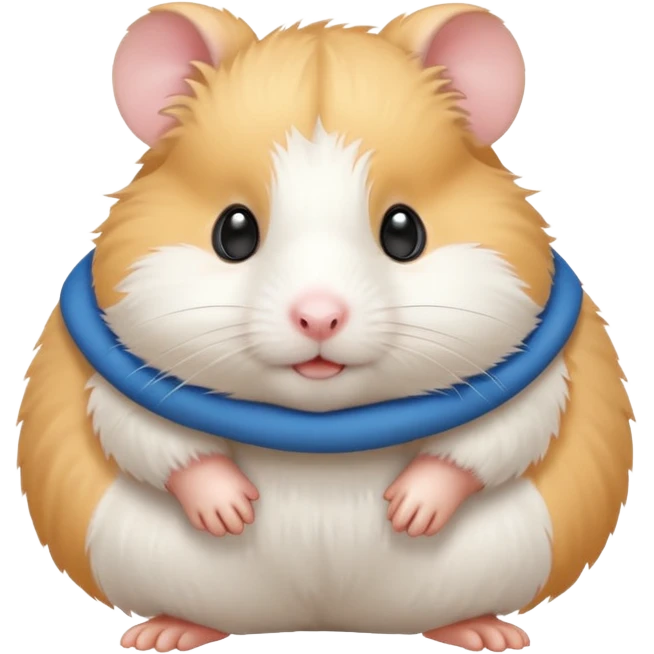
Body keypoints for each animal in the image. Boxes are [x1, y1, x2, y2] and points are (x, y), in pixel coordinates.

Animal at [16, 3, 634, 653]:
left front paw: (409, 511)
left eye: (404, 232)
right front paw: (231, 511)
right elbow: (145, 434)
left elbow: (503, 433)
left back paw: (487, 632)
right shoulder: (118, 378)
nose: (319, 316)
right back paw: (165, 632)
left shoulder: (537, 376)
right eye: (233, 231)